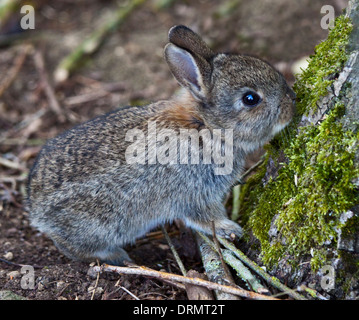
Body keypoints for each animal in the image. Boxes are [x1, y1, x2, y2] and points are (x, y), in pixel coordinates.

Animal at [27, 25, 296, 264]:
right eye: (250, 99)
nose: (292, 101)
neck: (207, 126)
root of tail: (35, 211)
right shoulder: (195, 191)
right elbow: (206, 217)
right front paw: (231, 228)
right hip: (99, 225)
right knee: (72, 247)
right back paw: (116, 256)